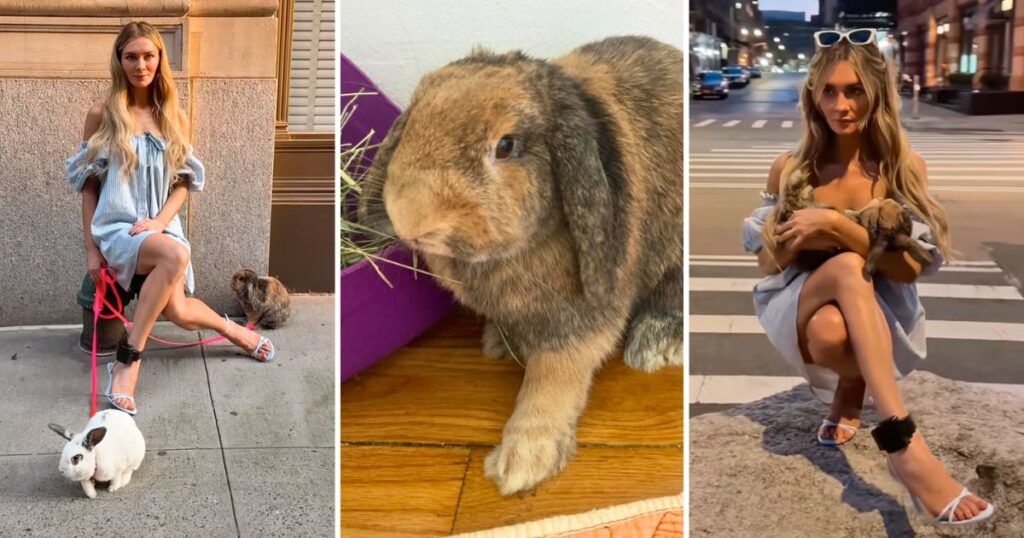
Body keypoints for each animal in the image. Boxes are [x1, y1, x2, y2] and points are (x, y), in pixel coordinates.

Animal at [359, 36, 683, 495]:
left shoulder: (576, 324)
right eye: (416, 117)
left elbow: (551, 381)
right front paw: (500, 341)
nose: (412, 219)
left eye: (506, 146)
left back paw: (652, 347)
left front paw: (520, 465)